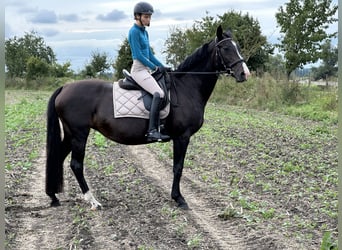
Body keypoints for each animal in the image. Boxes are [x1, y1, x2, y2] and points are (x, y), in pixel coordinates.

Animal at [44, 25, 248, 210]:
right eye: (226, 48)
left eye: (237, 47)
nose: (244, 73)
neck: (186, 87)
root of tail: (65, 87)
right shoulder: (182, 137)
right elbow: (178, 167)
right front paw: (179, 199)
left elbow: (178, 167)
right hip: (79, 134)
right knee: (76, 165)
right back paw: (93, 201)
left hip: (71, 134)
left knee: (59, 157)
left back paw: (54, 196)